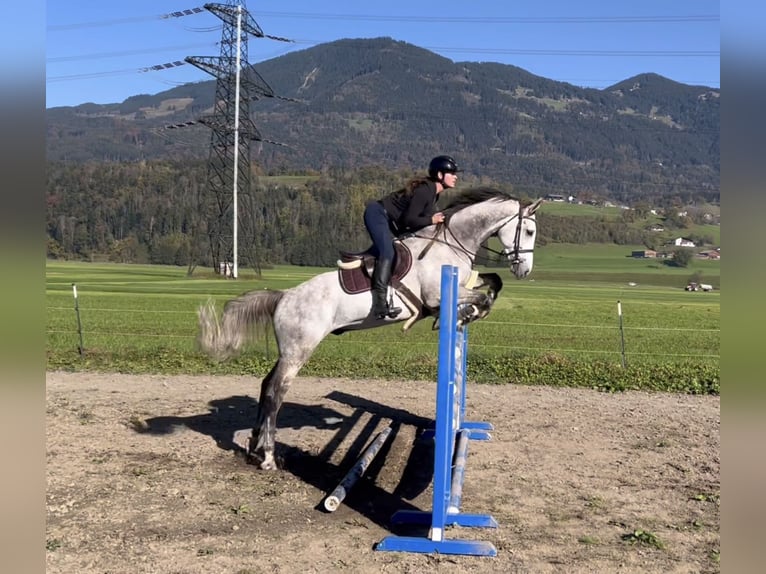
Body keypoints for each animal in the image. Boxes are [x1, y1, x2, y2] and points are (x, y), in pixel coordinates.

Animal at [200, 189, 544, 472]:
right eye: (528, 231)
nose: (525, 271)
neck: (452, 243)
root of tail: (283, 297)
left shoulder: (462, 283)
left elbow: (492, 282)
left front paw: (467, 313)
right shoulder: (439, 295)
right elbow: (481, 297)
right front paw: (465, 314)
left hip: (288, 351)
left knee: (265, 385)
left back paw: (254, 448)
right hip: (299, 350)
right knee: (275, 392)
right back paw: (269, 457)